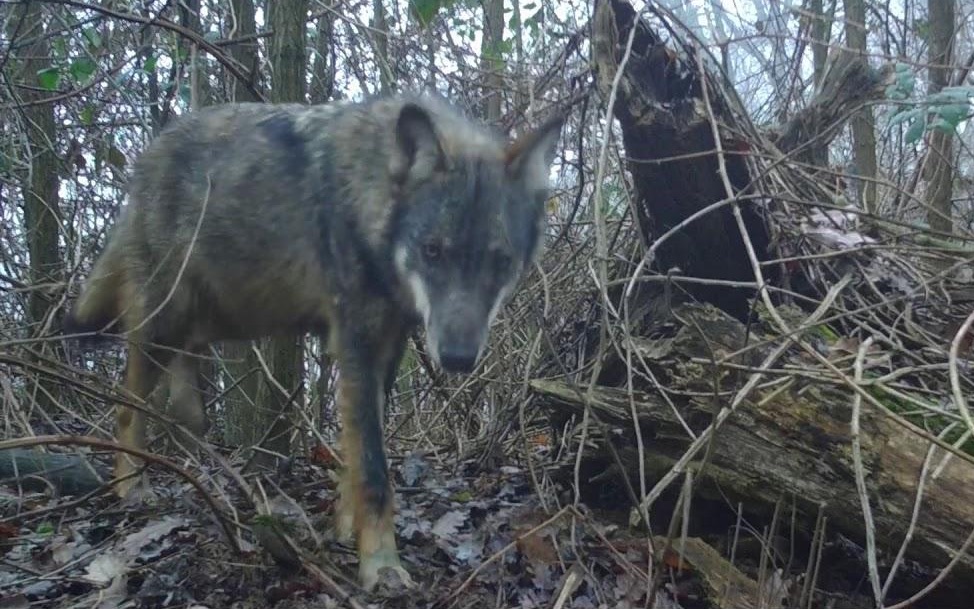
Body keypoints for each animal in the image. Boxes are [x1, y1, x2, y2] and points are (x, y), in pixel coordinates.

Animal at [65, 94, 560, 588]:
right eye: (432, 250)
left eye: (500, 261)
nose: (457, 358)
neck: (370, 195)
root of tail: (151, 151)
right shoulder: (356, 342)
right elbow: (374, 471)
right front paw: (382, 566)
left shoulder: (389, 347)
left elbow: (354, 460)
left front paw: (344, 530)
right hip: (165, 321)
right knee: (128, 407)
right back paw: (132, 488)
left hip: (212, 321)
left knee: (183, 410)